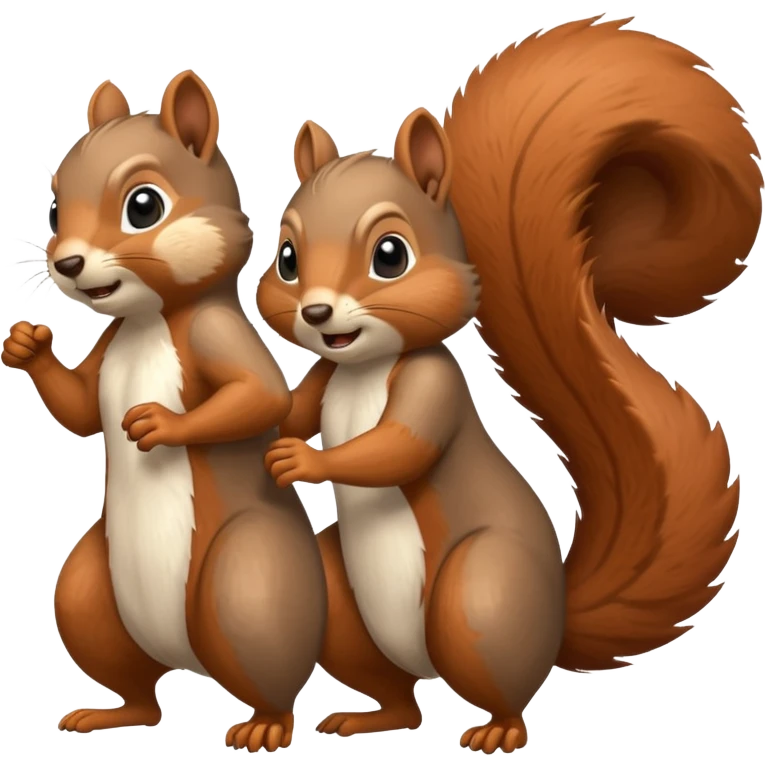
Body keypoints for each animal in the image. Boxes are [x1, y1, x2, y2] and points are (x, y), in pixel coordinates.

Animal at [2, 71, 326, 753]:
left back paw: (265, 725)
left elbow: (261, 395)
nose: (67, 263)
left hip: (248, 588)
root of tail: (190, 662)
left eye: (144, 205)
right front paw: (28, 346)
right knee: (141, 697)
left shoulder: (213, 333)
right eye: (55, 207)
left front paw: (158, 424)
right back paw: (109, 714)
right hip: (89, 597)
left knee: (271, 678)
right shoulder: (106, 349)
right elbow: (79, 412)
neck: (150, 318)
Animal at [257, 15, 762, 755]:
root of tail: (554, 621)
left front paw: (303, 461)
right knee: (402, 700)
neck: (365, 366)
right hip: (344, 603)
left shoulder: (434, 383)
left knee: (503, 687)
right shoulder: (326, 371)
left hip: (480, 595)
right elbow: (295, 407)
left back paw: (497, 729)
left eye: (390, 255)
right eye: (287, 257)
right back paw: (369, 716)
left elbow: (397, 446)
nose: (316, 314)